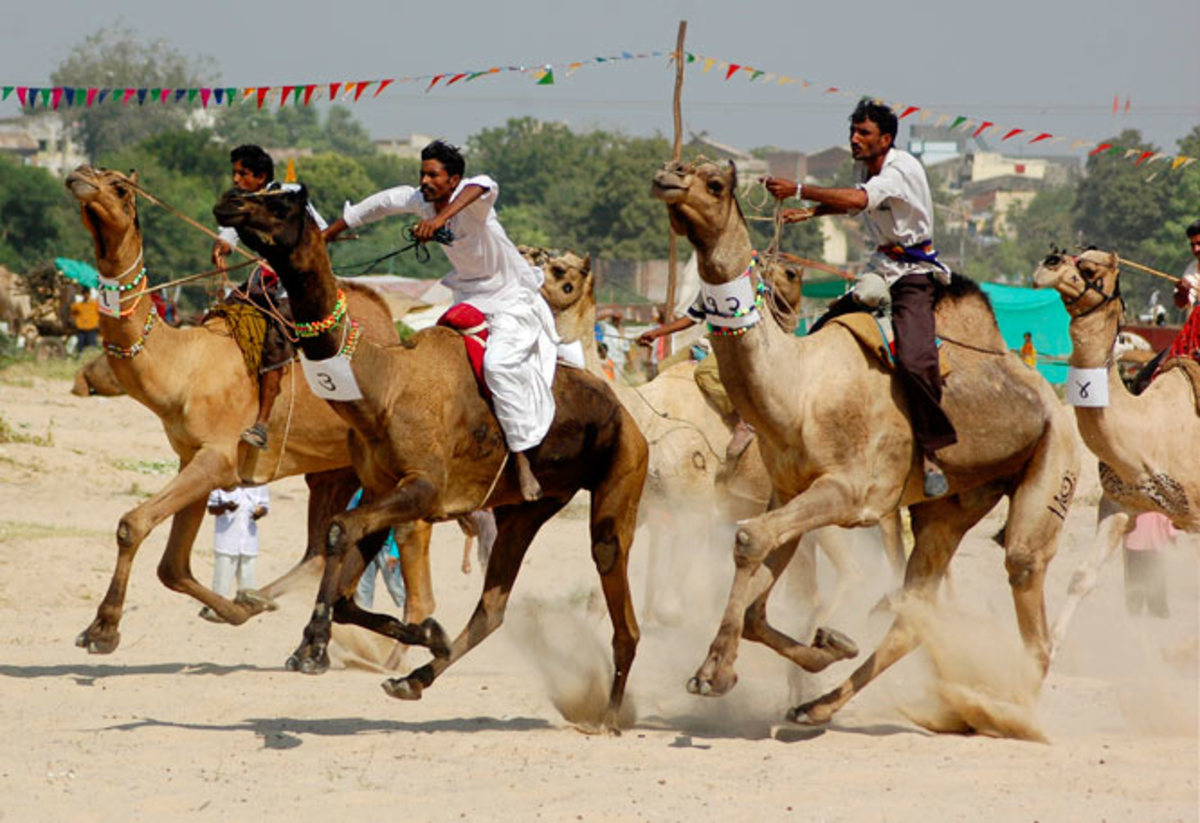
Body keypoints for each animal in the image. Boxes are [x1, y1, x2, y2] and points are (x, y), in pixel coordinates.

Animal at [64, 164, 441, 652]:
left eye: (121, 188)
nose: (80, 175)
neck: (184, 365)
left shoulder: (217, 454)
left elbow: (133, 523)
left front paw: (103, 628)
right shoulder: (194, 457)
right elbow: (172, 566)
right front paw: (233, 611)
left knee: (407, 552)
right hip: (337, 469)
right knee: (322, 546)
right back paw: (265, 603)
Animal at [216, 182, 648, 729]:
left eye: (283, 202)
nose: (230, 200)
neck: (382, 387)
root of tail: (627, 413)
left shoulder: (423, 488)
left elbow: (336, 531)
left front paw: (313, 646)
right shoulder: (381, 488)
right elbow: (347, 565)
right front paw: (427, 635)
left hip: (623, 473)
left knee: (616, 586)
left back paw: (609, 716)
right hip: (529, 506)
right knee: (494, 606)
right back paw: (413, 680)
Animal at [535, 248, 902, 628]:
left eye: (559, 269)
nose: (527, 256)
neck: (649, 416)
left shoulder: (694, 503)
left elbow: (670, 608)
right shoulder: (648, 501)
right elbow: (601, 591)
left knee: (853, 571)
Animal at [652, 160, 1084, 729]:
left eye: (715, 182)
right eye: (679, 168)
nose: (667, 177)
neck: (799, 390)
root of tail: (1049, 396)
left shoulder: (852, 491)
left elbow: (747, 540)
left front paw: (711, 673)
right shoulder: (789, 492)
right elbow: (757, 591)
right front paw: (824, 647)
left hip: (1056, 459)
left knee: (1024, 575)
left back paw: (1005, 712)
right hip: (953, 504)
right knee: (915, 610)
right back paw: (818, 706)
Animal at [1032, 251, 1200, 652]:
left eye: (1089, 267)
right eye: (1074, 255)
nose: (1048, 263)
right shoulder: (1122, 503)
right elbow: (1082, 576)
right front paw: (1046, 653)